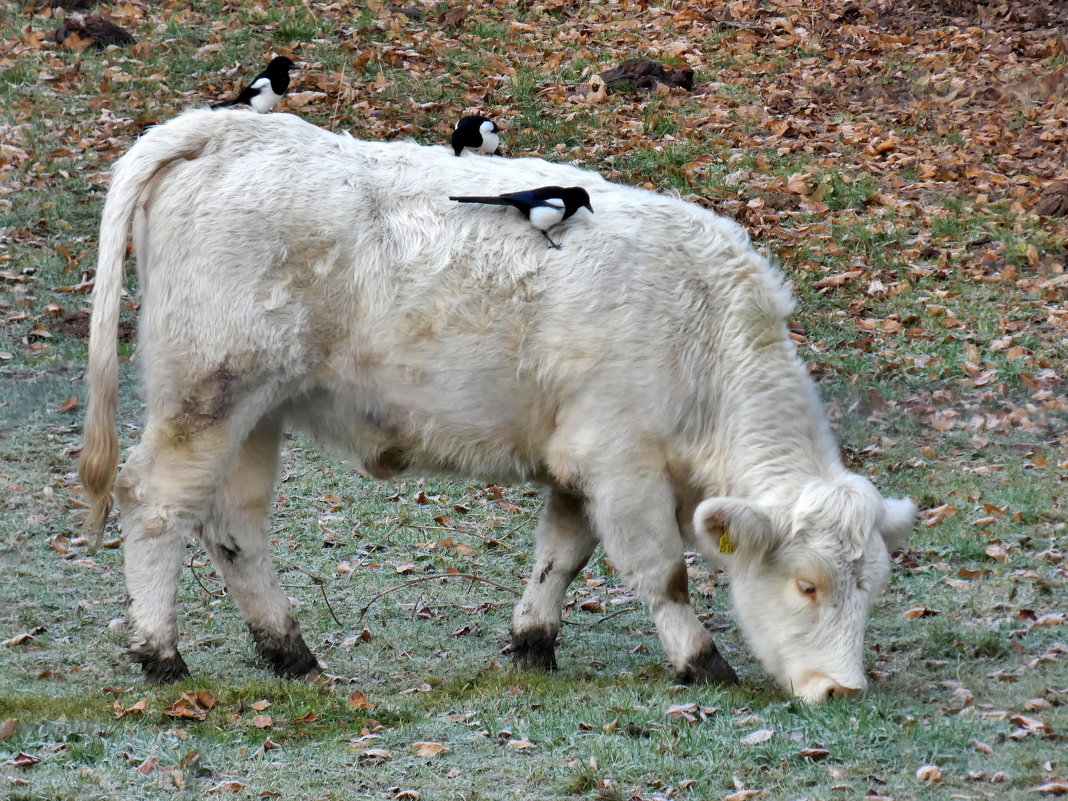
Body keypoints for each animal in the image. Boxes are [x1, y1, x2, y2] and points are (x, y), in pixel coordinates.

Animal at [79, 108, 914, 700]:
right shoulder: (622, 465)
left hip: (260, 409)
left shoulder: (578, 462)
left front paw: (533, 641)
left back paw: (291, 651)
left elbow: (560, 556)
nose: (842, 688)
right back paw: (160, 653)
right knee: (155, 502)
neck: (702, 325)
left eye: (873, 586)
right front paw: (700, 657)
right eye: (807, 584)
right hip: (206, 395)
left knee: (233, 524)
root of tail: (221, 130)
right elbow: (659, 570)